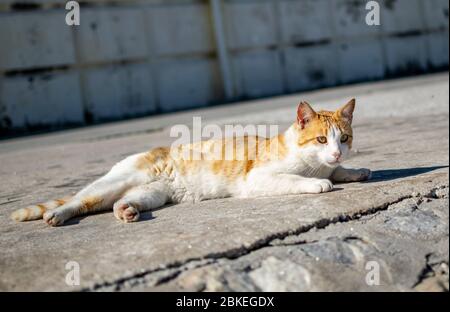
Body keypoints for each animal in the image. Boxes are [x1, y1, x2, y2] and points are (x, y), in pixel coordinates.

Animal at [10, 98, 370, 225]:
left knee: (120, 202)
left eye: (344, 138)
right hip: (114, 182)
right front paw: (319, 182)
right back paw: (58, 214)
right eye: (322, 140)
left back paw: (126, 211)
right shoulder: (258, 178)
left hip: (152, 194)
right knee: (80, 200)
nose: (337, 151)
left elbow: (339, 170)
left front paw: (353, 170)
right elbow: (298, 179)